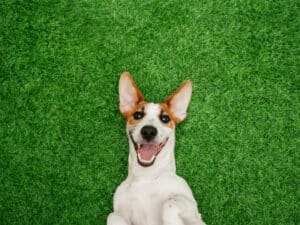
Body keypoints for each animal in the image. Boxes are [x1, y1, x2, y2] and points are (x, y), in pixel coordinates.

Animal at [106, 72, 206, 225]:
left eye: (165, 118)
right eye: (138, 115)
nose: (148, 131)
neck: (147, 177)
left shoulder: (194, 215)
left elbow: (170, 203)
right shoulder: (120, 211)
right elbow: (112, 216)